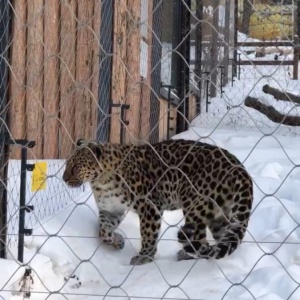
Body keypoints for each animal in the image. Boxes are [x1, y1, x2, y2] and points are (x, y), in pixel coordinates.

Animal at [62, 138, 253, 264]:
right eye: (67, 164)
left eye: (76, 166)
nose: (64, 179)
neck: (100, 182)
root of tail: (240, 169)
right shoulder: (111, 209)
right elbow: (103, 231)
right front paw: (117, 241)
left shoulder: (149, 206)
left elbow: (148, 233)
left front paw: (144, 256)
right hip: (221, 212)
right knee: (223, 238)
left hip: (196, 207)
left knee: (201, 239)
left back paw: (186, 255)